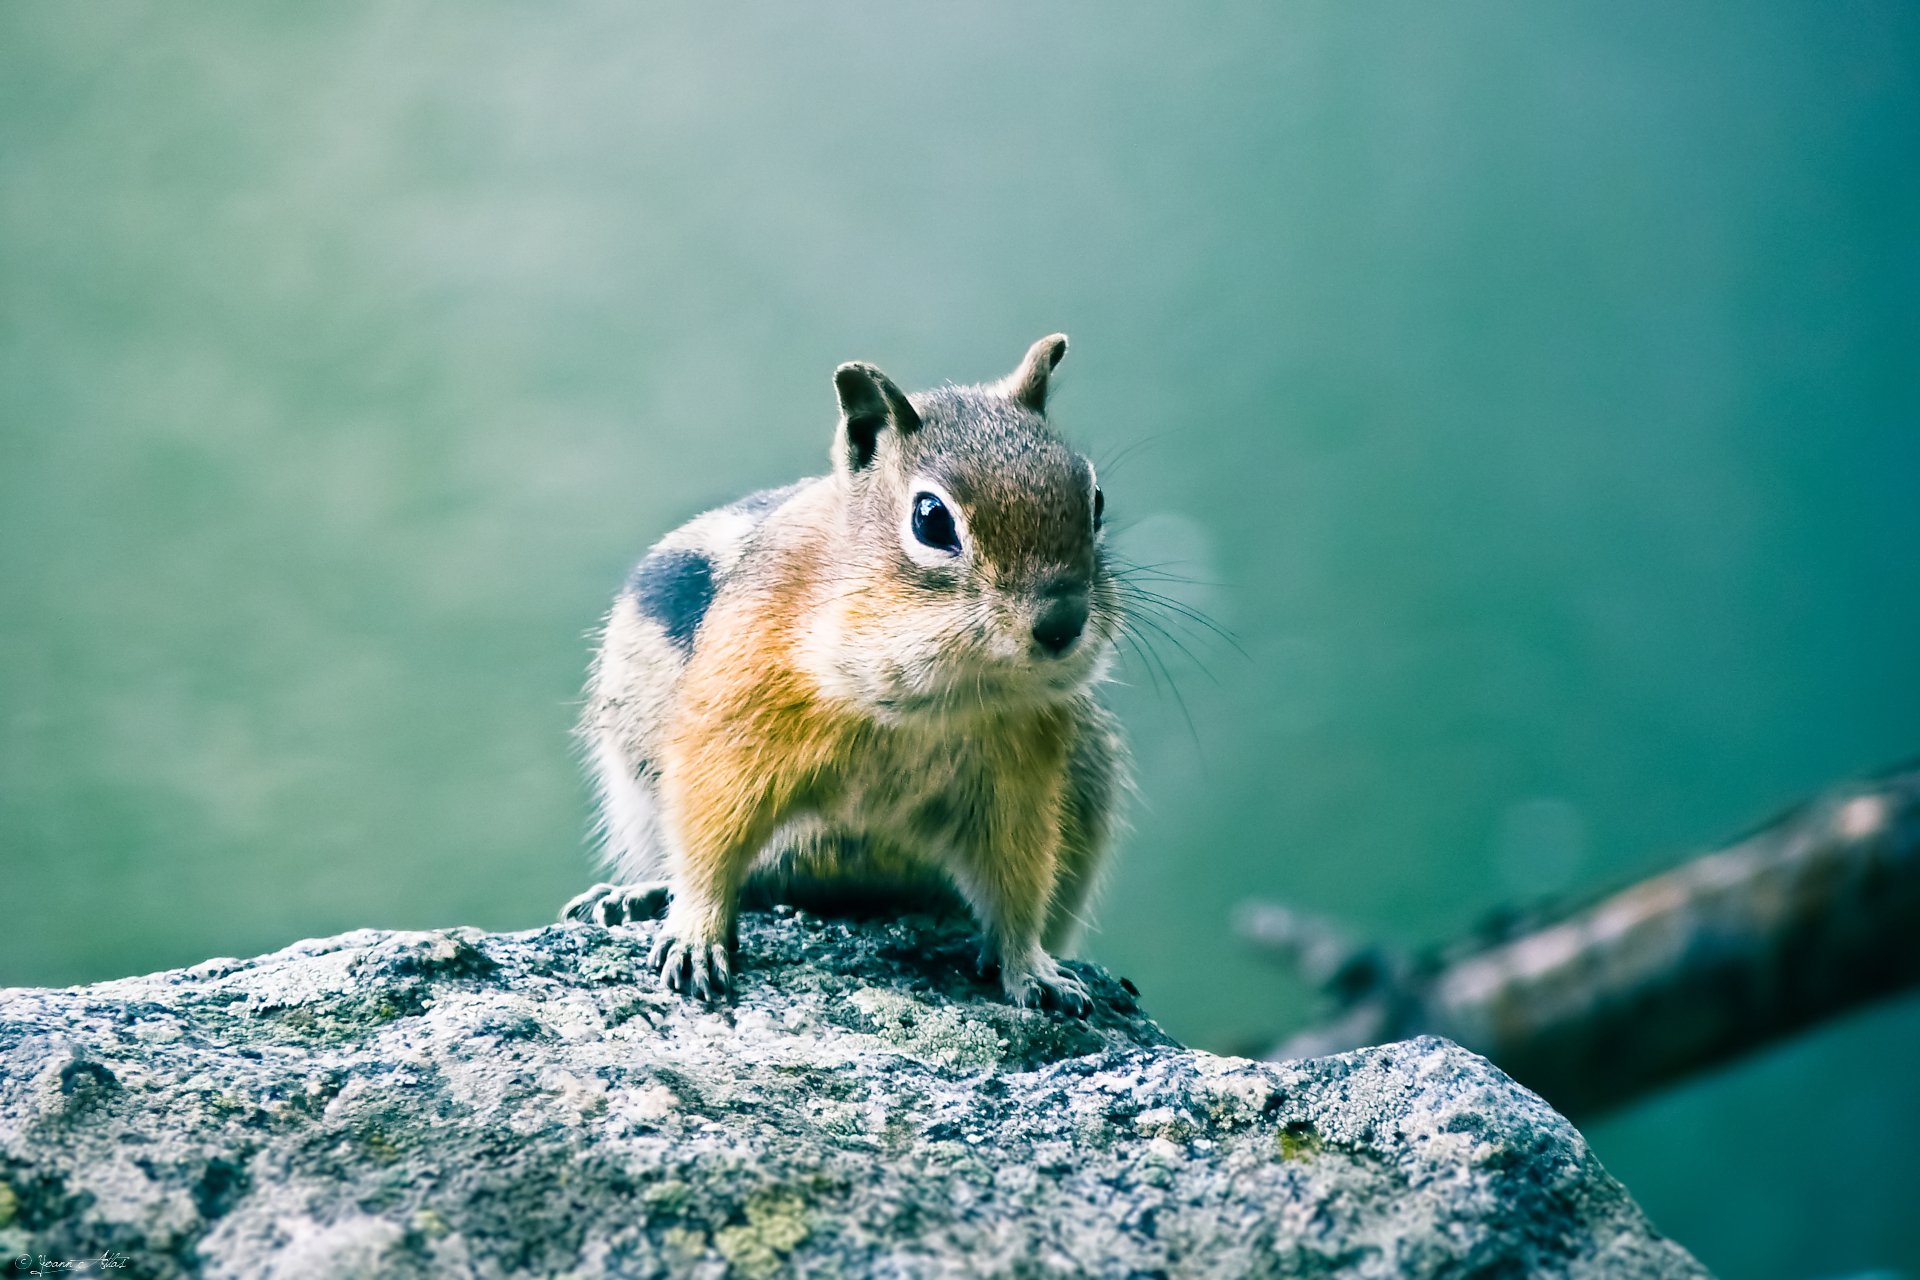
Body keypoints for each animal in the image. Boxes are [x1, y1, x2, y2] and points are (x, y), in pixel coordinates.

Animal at [560, 335, 1121, 1013]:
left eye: (1095, 499)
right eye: (931, 519)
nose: (1063, 622)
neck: (925, 698)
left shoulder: (1022, 784)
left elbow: (1018, 881)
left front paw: (1032, 969)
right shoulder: (726, 736)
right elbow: (706, 844)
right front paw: (695, 932)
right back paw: (634, 895)